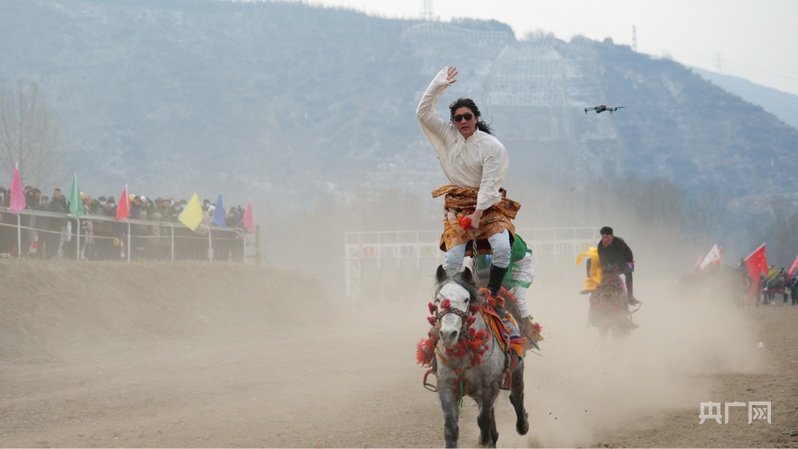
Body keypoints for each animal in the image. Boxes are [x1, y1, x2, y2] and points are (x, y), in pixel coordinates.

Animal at [427, 265, 528, 448]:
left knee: (516, 397)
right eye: (438, 299)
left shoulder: (489, 387)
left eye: (466, 299)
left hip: (517, 371)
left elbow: (483, 419)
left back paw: (522, 425)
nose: (448, 334)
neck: (462, 356)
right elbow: (451, 428)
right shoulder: (446, 387)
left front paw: (486, 441)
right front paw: (488, 438)